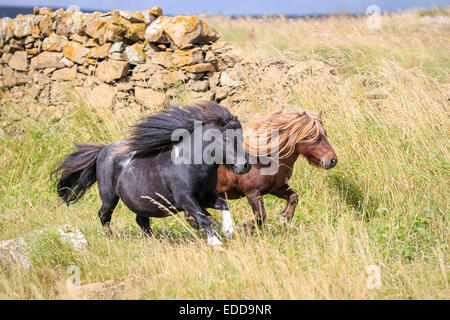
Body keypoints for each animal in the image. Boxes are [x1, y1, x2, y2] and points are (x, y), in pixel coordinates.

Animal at [53, 101, 251, 246]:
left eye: (241, 136)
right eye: (225, 138)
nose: (245, 165)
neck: (190, 163)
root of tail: (103, 150)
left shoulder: (204, 196)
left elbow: (224, 204)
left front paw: (228, 230)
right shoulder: (186, 199)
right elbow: (203, 219)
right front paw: (216, 243)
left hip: (141, 202)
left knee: (141, 220)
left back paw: (152, 240)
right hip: (109, 197)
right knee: (104, 214)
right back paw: (110, 236)